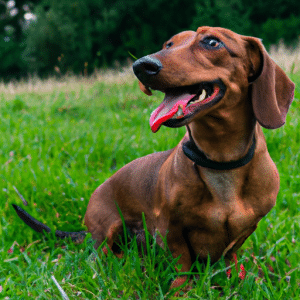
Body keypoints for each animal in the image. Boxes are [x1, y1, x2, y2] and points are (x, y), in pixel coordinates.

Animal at [12, 27, 294, 288]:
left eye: (212, 42)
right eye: (169, 44)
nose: (140, 65)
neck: (220, 162)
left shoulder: (246, 229)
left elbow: (230, 254)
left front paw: (238, 277)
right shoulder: (170, 227)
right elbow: (182, 262)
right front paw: (182, 289)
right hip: (107, 229)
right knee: (100, 254)